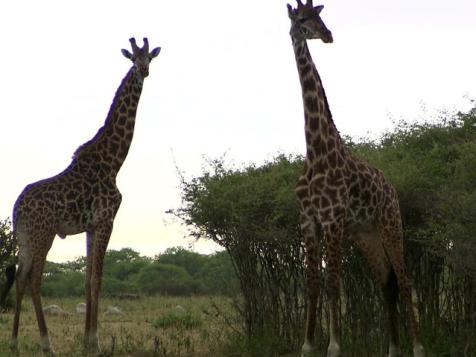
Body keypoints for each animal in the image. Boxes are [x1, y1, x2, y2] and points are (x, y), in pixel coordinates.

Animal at [1, 36, 162, 354]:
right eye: (133, 58)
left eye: (149, 57)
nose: (144, 71)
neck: (113, 162)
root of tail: (16, 208)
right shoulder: (106, 220)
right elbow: (97, 279)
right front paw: (95, 343)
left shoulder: (91, 226)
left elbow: (88, 280)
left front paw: (88, 341)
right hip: (44, 234)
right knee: (34, 279)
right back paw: (47, 344)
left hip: (25, 238)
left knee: (21, 278)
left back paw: (14, 343)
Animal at [288, 1, 426, 354]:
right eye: (303, 18)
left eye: (320, 16)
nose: (327, 34)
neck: (315, 150)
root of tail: (391, 188)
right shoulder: (308, 219)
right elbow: (312, 285)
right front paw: (307, 346)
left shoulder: (333, 218)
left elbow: (334, 284)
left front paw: (334, 347)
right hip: (366, 235)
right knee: (387, 282)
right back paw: (392, 349)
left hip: (391, 225)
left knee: (405, 280)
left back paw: (417, 347)